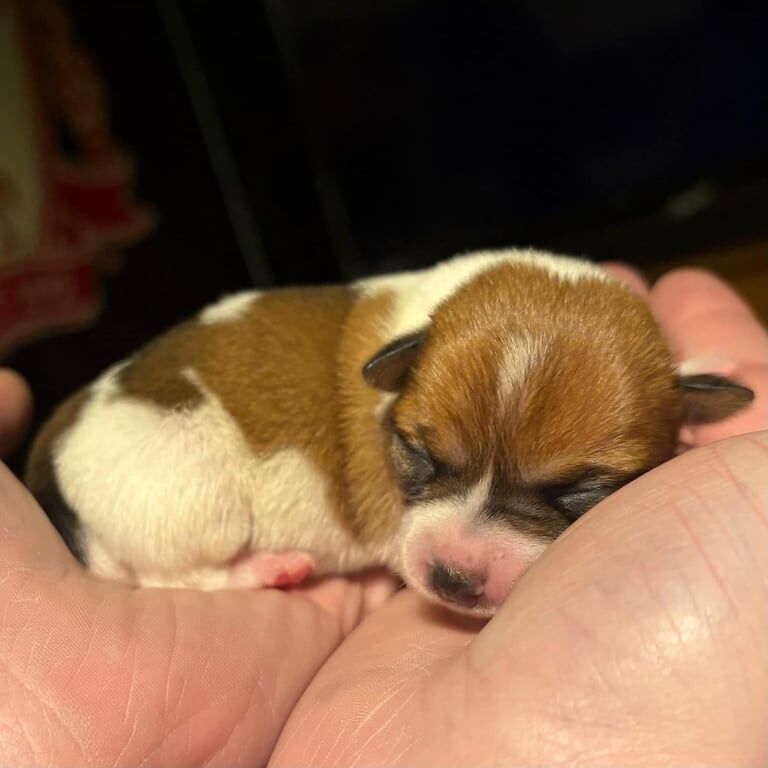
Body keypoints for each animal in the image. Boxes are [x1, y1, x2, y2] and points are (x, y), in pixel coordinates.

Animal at [25, 249, 756, 616]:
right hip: (192, 496)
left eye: (578, 492)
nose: (452, 579)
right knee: (175, 575)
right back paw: (271, 568)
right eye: (420, 455)